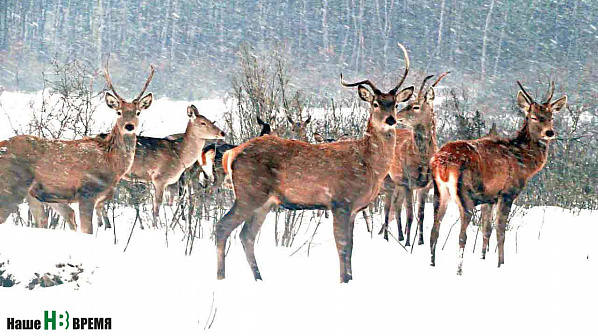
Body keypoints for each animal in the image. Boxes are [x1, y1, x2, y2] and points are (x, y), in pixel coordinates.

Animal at [0, 62, 157, 234]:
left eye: (138, 112)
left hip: (31, 193)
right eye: (119, 112)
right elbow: (87, 230)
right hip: (12, 184)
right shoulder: (87, 192)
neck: (111, 162)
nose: (129, 126)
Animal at [216, 43, 418, 282]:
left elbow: (351, 247)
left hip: (265, 201)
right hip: (249, 193)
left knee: (246, 235)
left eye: (395, 104)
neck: (368, 164)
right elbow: (342, 246)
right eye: (376, 103)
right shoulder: (340, 201)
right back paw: (221, 277)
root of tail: (232, 154)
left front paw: (350, 279)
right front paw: (343, 280)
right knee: (223, 227)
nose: (391, 120)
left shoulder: (355, 207)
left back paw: (258, 278)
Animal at [380, 71, 450, 244]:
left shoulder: (425, 186)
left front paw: (420, 241)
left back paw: (399, 235)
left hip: (397, 184)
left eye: (416, 106)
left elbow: (421, 215)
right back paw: (387, 237)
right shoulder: (408, 182)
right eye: (408, 102)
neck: (423, 159)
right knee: (387, 207)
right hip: (389, 181)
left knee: (396, 206)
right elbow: (410, 215)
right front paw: (408, 243)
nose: (397, 117)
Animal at [432, 82, 568, 276]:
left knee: (434, 229)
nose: (549, 132)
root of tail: (442, 162)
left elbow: (486, 230)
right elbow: (500, 230)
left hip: (439, 191)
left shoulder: (489, 197)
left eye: (551, 116)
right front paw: (501, 264)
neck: (524, 162)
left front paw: (483, 258)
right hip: (464, 193)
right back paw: (459, 270)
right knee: (461, 235)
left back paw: (432, 263)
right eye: (534, 117)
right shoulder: (507, 192)